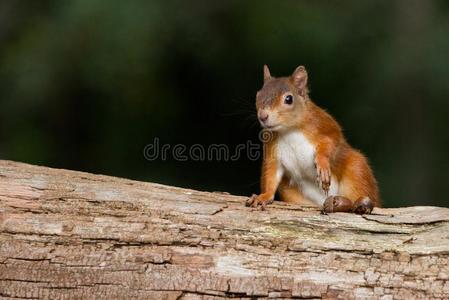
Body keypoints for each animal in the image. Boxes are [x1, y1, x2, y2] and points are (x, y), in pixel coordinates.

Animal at [247, 65, 380, 213]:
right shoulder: (272, 148)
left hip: (357, 171)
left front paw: (322, 164)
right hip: (290, 191)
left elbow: (331, 142)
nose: (263, 116)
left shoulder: (324, 124)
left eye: (289, 99)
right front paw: (263, 196)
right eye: (258, 95)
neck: (289, 130)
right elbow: (270, 173)